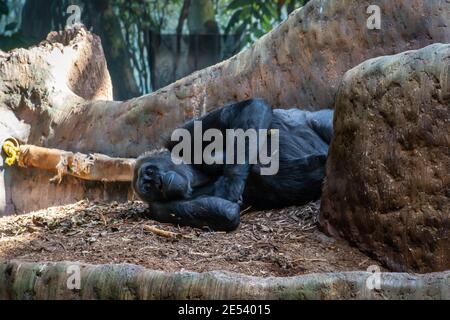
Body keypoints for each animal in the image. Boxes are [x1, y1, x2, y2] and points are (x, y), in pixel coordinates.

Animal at [132, 99, 332, 231]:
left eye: (150, 172)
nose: (159, 182)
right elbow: (226, 214)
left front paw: (231, 183)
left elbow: (248, 108)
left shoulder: (180, 134)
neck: (194, 176)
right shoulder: (159, 210)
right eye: (148, 188)